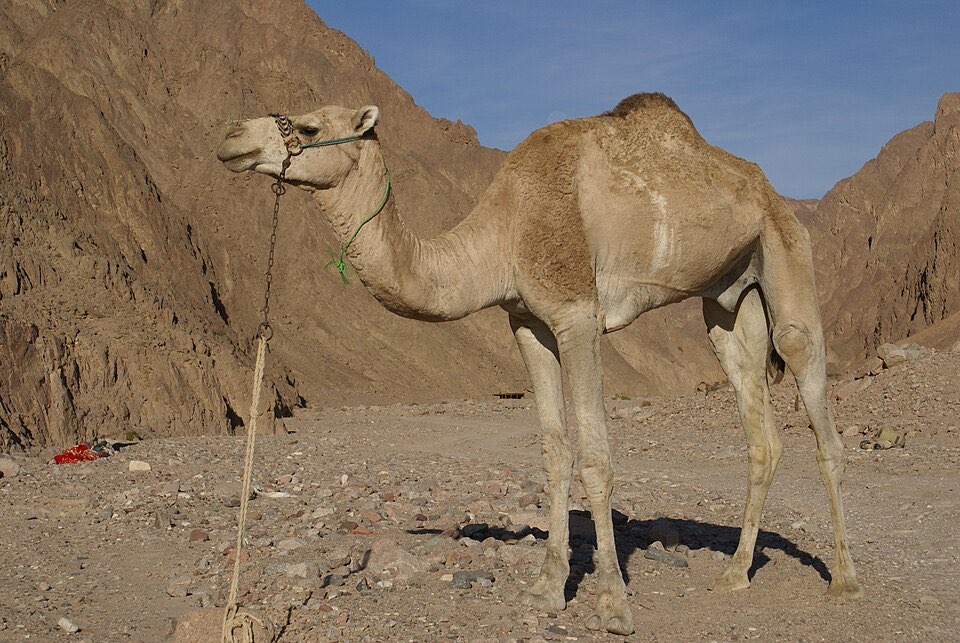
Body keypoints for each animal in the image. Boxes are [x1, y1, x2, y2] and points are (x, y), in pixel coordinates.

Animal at [217, 93, 861, 635]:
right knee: (760, 426)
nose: (231, 137)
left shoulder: (578, 315)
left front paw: (613, 606)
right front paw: (547, 591)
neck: (502, 234)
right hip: (728, 299)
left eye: (308, 127)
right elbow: (555, 450)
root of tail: (772, 192)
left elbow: (596, 455)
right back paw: (733, 573)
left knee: (815, 397)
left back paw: (845, 580)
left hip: (786, 252)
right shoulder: (527, 323)